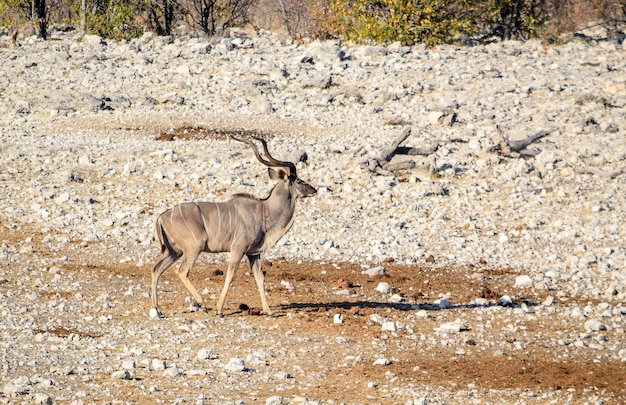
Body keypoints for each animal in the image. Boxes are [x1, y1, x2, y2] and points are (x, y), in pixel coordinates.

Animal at [150, 136, 316, 316]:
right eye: (299, 180)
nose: (313, 190)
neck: (263, 212)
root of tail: (161, 217)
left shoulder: (253, 254)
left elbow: (260, 277)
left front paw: (269, 311)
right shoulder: (238, 249)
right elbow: (230, 275)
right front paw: (219, 309)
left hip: (175, 251)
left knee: (156, 269)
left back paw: (157, 308)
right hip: (193, 248)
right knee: (182, 271)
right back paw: (202, 303)